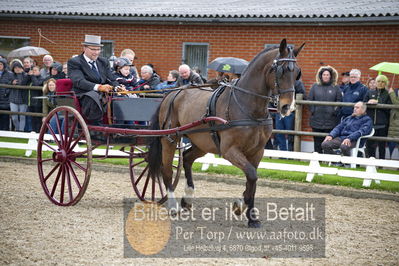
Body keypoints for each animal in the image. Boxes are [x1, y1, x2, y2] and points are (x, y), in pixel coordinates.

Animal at [148, 38, 304, 228]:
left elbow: (252, 180)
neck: (248, 108)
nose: (288, 107)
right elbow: (252, 175)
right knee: (167, 170)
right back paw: (173, 205)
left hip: (202, 142)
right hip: (170, 138)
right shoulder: (230, 150)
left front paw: (250, 214)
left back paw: (188, 198)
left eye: (297, 73)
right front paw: (241, 206)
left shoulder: (257, 151)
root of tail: (173, 93)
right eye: (281, 70)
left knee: (187, 158)